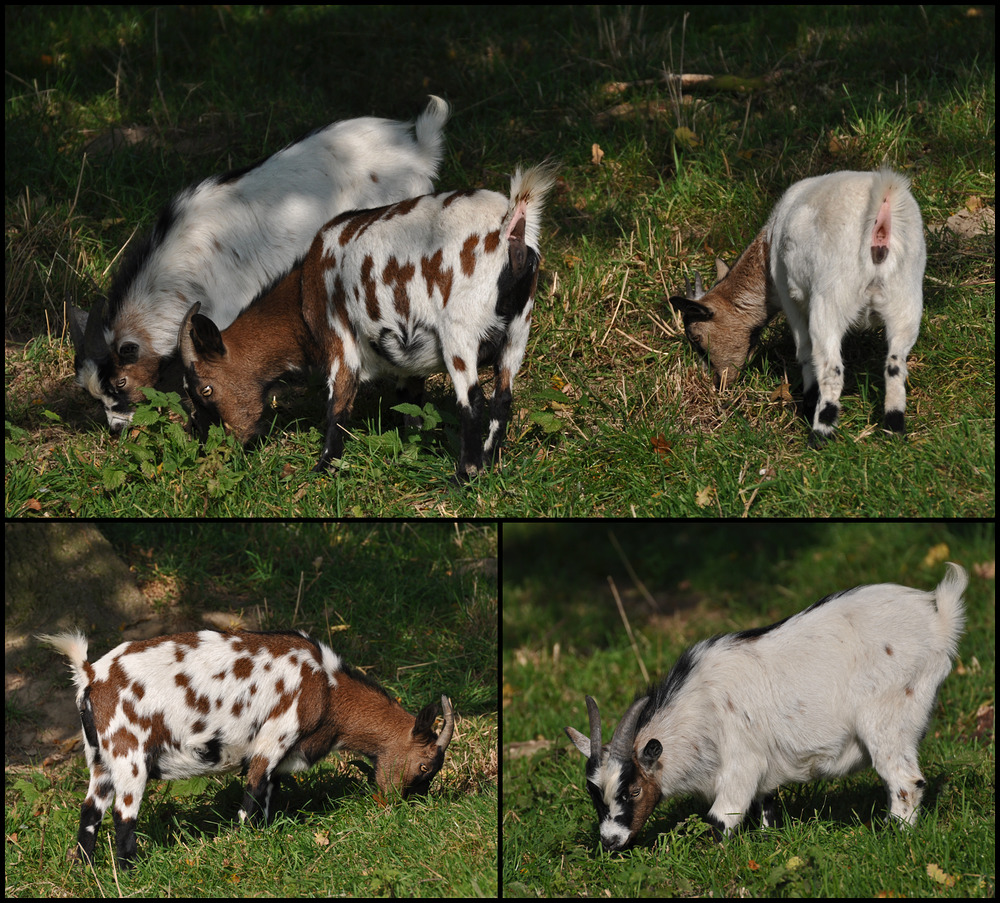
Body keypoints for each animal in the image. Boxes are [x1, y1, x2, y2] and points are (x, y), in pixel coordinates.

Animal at [37, 628, 456, 868]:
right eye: (424, 766)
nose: (398, 806)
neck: (328, 687)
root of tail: (92, 675)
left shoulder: (279, 757)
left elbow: (269, 793)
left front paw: (267, 835)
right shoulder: (273, 738)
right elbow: (252, 795)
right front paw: (246, 845)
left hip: (100, 760)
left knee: (89, 811)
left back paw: (85, 869)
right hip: (129, 754)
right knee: (124, 816)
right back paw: (130, 872)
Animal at [179, 165, 556, 484]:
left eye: (205, 389)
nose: (213, 446)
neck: (303, 291)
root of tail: (511, 226)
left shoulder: (340, 340)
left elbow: (338, 407)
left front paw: (323, 468)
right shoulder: (408, 365)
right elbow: (410, 403)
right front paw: (410, 447)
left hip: (459, 330)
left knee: (472, 401)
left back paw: (464, 476)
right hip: (518, 332)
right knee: (502, 399)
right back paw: (489, 463)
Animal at [568, 560, 964, 852]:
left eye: (633, 790)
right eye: (594, 795)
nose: (610, 841)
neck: (699, 705)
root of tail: (938, 622)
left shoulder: (742, 762)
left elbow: (720, 819)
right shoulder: (764, 769)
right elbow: (767, 807)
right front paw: (770, 841)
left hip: (888, 717)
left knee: (905, 781)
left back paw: (892, 837)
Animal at [668, 170, 924, 444]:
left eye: (696, 338)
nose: (719, 383)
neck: (767, 247)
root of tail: (882, 207)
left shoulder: (789, 296)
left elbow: (804, 352)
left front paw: (808, 404)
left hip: (830, 298)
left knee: (831, 368)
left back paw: (820, 435)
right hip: (906, 298)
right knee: (895, 365)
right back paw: (893, 430)